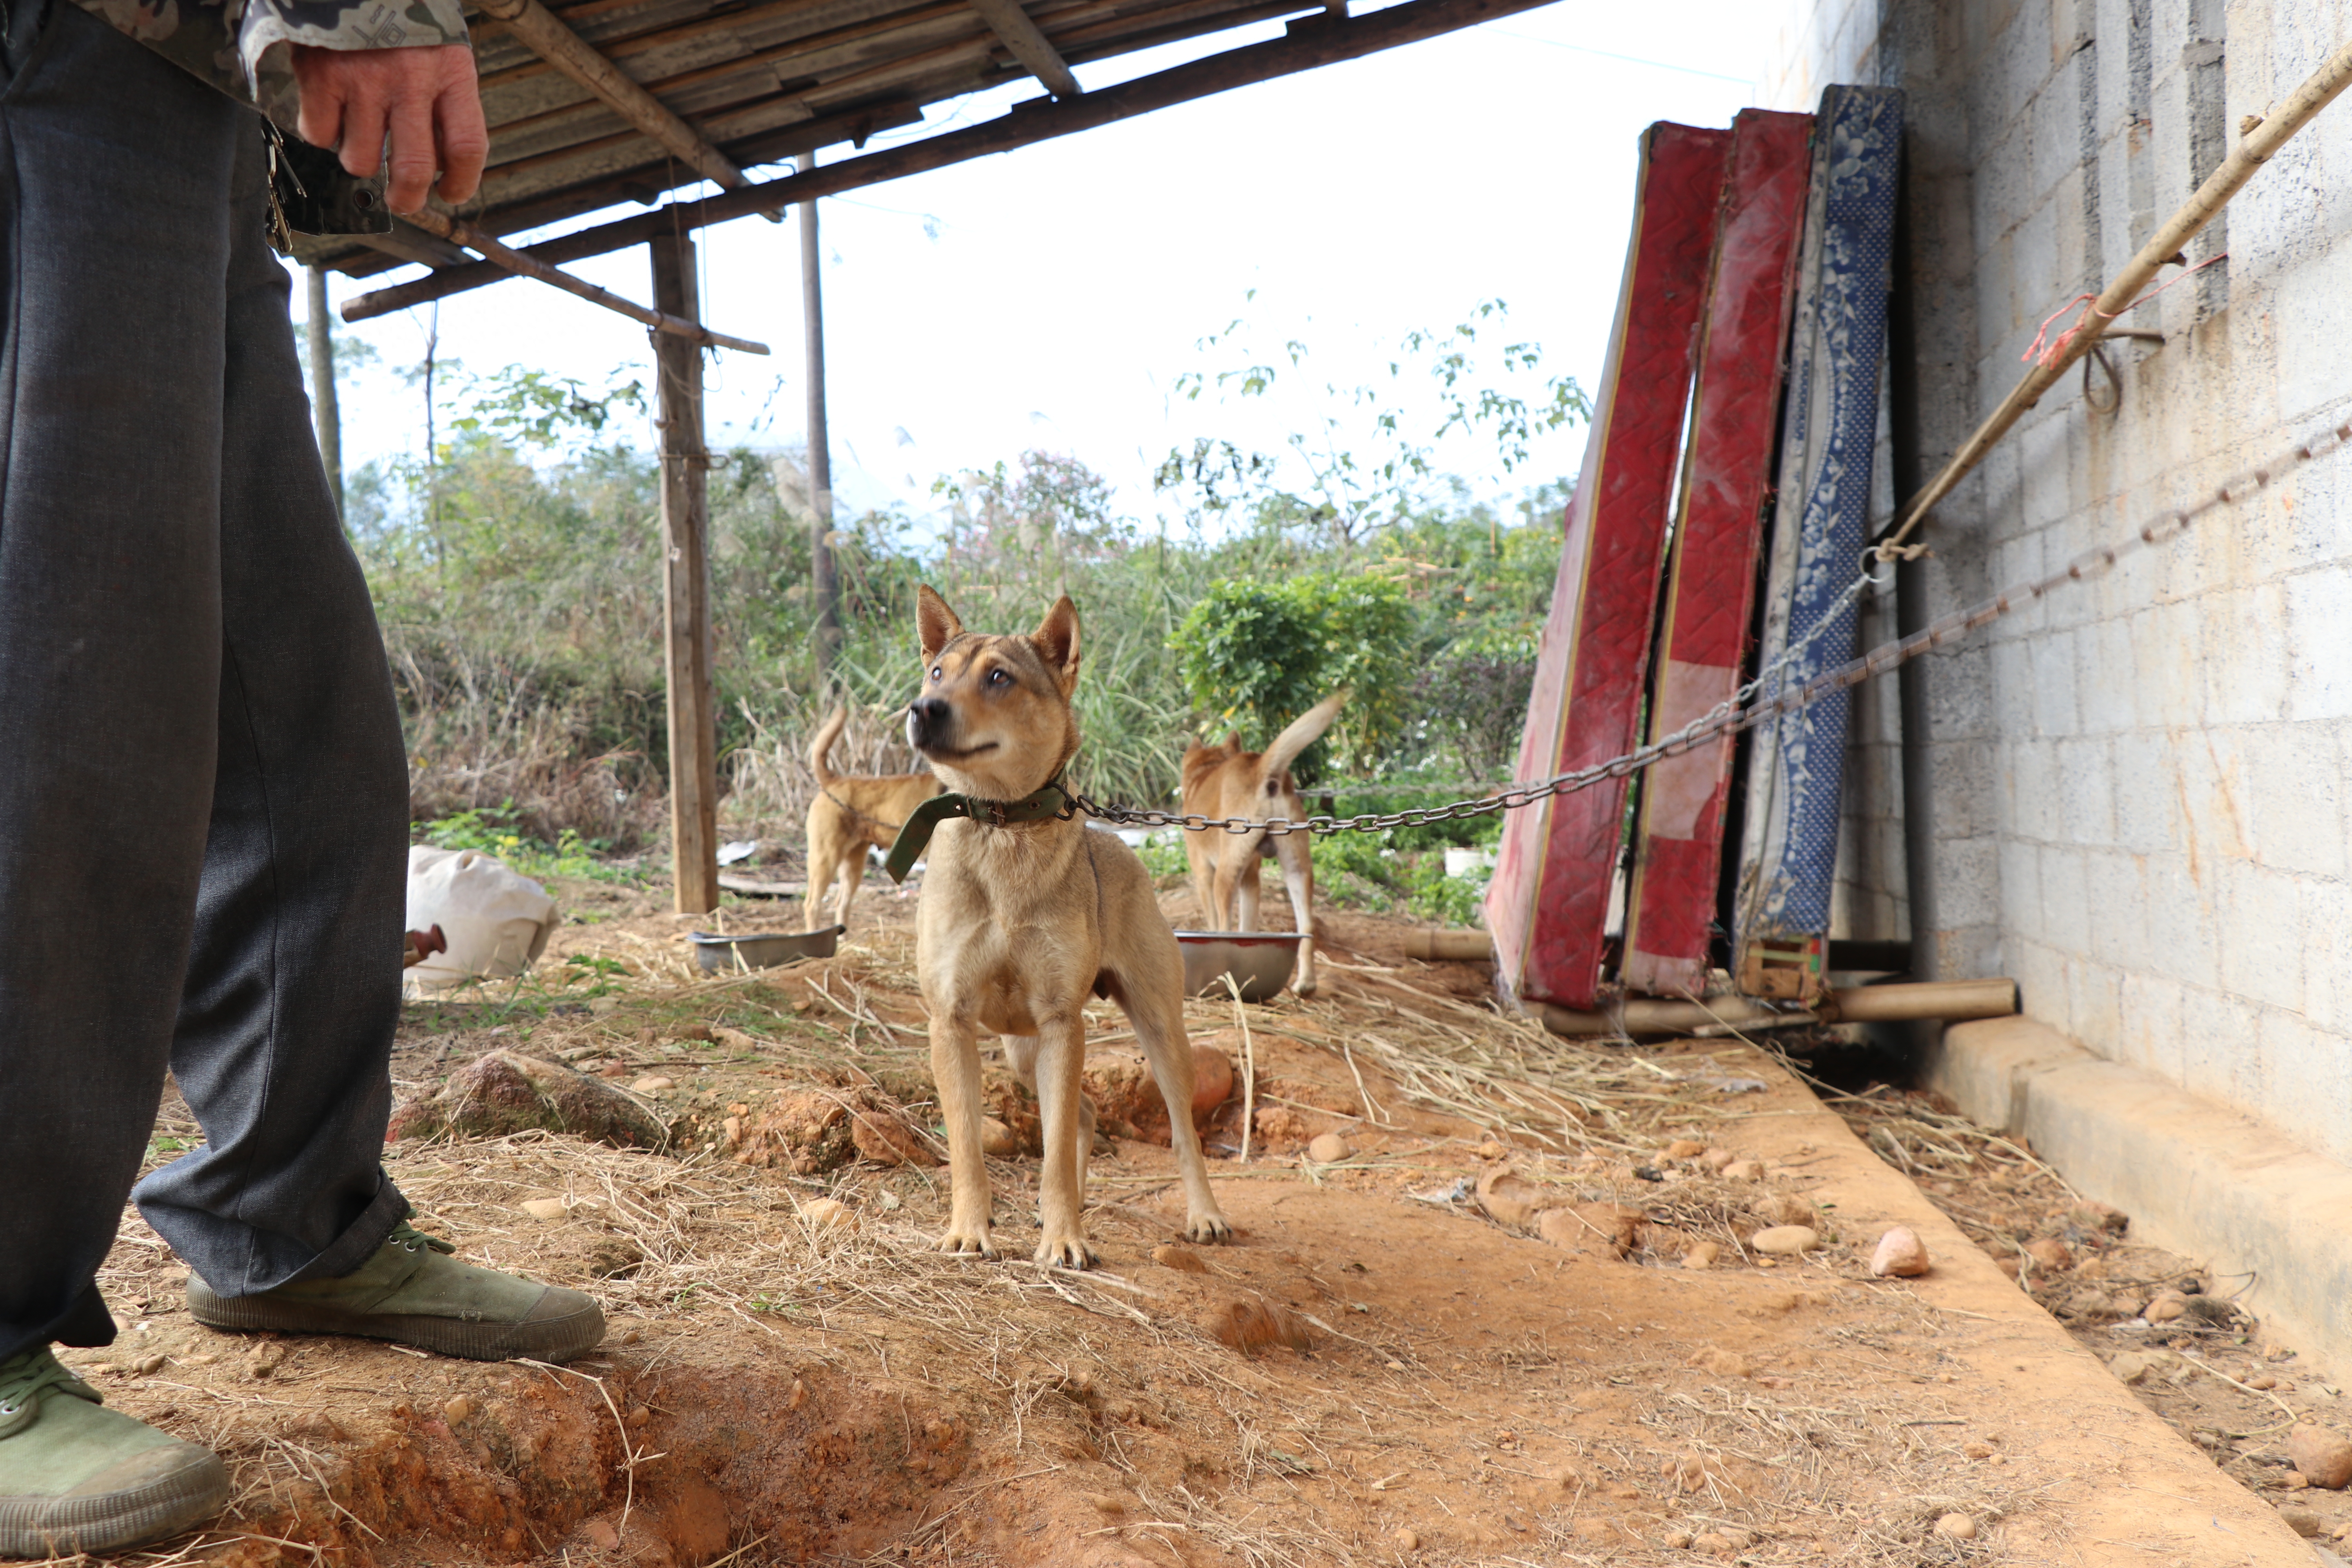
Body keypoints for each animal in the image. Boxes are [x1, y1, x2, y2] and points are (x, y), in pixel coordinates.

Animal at [898, 583, 1232, 1269]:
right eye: (937, 672)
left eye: (999, 678)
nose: (921, 710)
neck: (1004, 825)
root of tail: (1118, 843)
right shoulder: (952, 1021)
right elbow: (968, 1147)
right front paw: (970, 1231)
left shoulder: (1061, 1019)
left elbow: (1050, 1155)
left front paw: (1063, 1240)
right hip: (1024, 1051)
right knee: (1082, 1114)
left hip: (1158, 1031)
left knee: (1180, 1132)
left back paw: (1203, 1215)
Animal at [1171, 691, 1345, 1001]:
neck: (1207, 769)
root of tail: (1260, 766)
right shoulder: (1252, 878)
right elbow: (1249, 929)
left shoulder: (1203, 873)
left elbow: (1218, 922)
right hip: (1298, 869)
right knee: (1307, 926)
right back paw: (1306, 984)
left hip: (1224, 875)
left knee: (1225, 928)